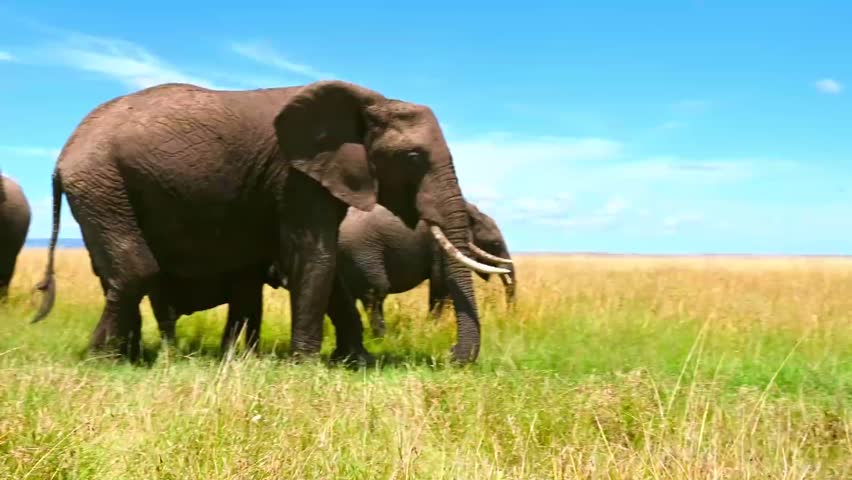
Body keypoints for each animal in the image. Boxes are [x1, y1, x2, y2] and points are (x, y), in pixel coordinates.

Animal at [336, 201, 515, 337]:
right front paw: (432, 331)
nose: (507, 317)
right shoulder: (439, 246)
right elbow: (441, 284)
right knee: (375, 292)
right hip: (362, 251)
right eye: (495, 244)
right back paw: (382, 339)